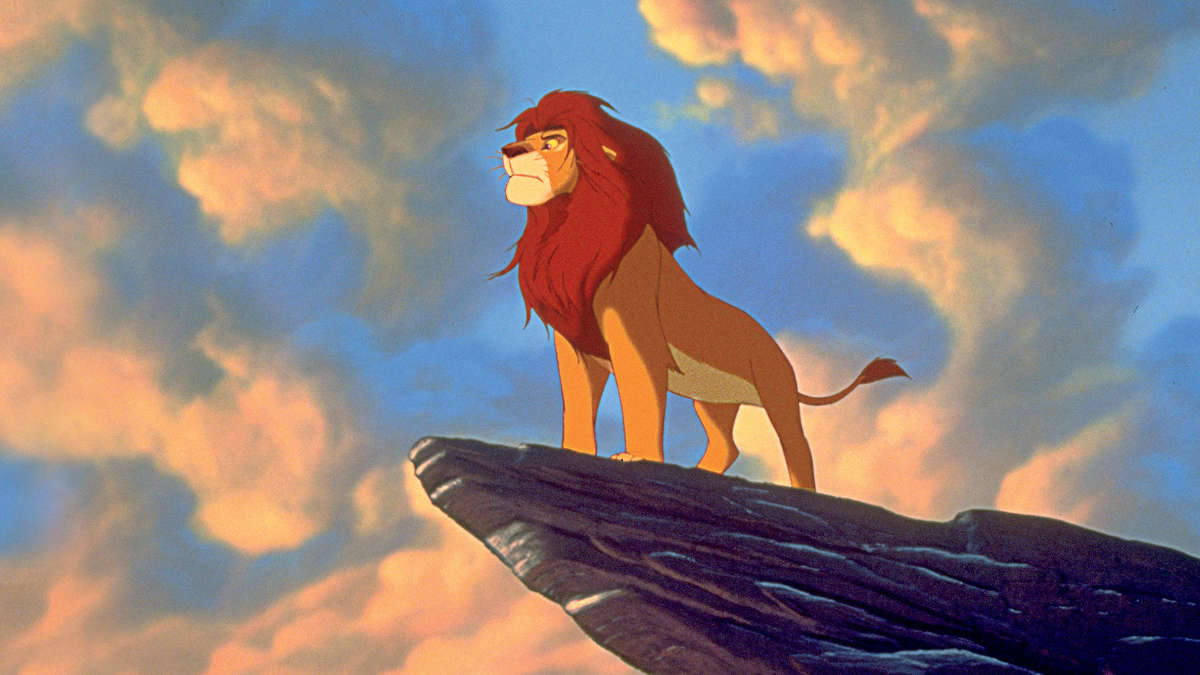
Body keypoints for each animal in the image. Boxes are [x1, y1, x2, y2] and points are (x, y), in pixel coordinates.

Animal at [493, 90, 906, 490]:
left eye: (551, 142)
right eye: (524, 137)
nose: (509, 151)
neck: (567, 227)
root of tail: (776, 348)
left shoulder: (635, 330)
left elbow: (641, 393)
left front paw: (636, 456)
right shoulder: (576, 344)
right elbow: (577, 402)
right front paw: (575, 451)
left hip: (776, 392)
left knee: (797, 447)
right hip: (713, 401)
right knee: (728, 446)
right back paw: (701, 472)